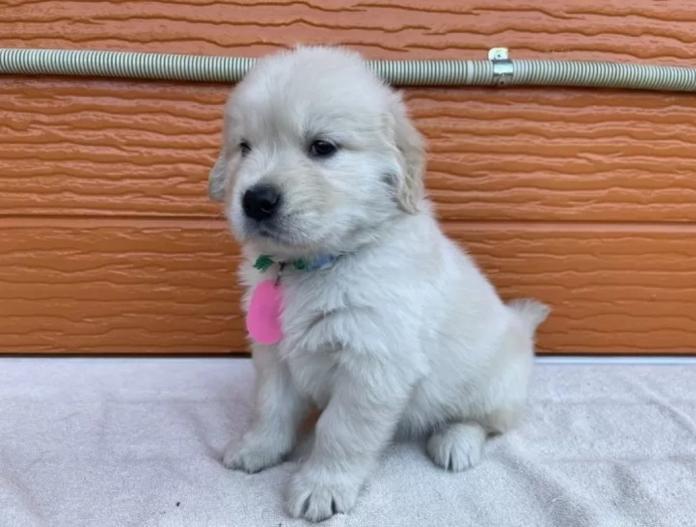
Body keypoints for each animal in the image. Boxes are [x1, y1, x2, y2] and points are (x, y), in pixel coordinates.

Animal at [210, 46, 549, 522]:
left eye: (322, 147)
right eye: (244, 147)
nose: (256, 200)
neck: (316, 264)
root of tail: (522, 326)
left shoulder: (374, 361)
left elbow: (341, 431)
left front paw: (322, 486)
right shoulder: (274, 354)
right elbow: (269, 407)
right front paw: (257, 449)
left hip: (493, 386)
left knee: (487, 422)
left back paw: (455, 441)